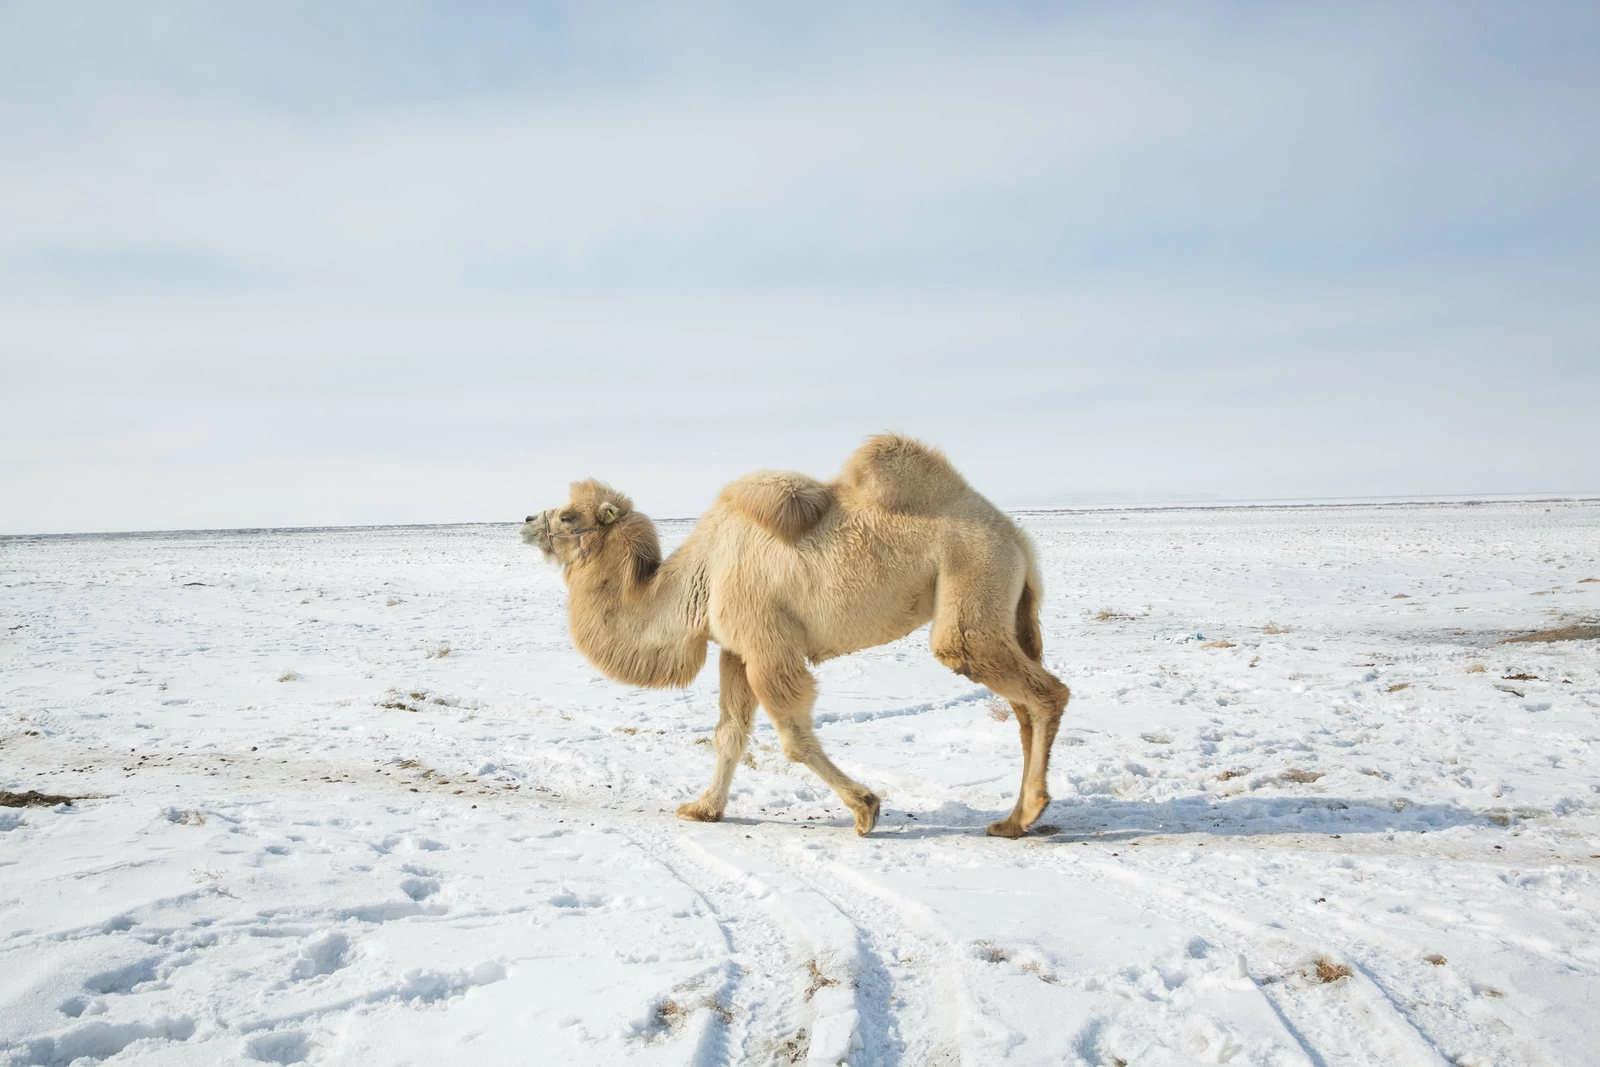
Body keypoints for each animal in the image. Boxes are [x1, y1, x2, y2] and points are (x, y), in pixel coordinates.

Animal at [524, 438, 1068, 838]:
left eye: (569, 516)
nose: (527, 521)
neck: (701, 574)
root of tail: (1015, 536)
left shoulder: (766, 643)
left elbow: (792, 737)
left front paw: (866, 809)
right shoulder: (734, 649)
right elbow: (729, 733)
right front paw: (703, 808)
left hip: (970, 580)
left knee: (1039, 690)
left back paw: (1028, 812)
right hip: (1004, 604)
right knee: (1024, 703)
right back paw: (1012, 819)